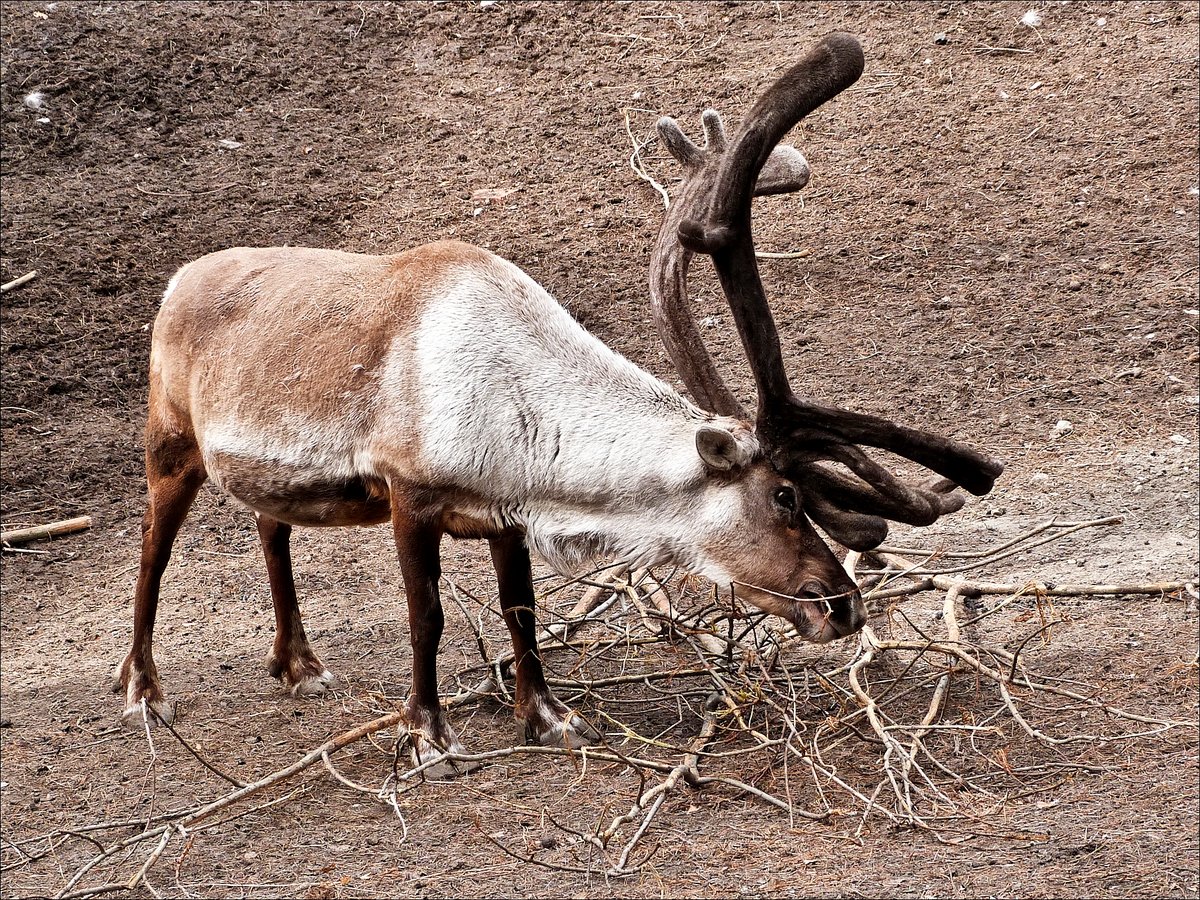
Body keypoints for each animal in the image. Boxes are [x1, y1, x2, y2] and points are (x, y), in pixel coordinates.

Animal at [115, 33, 1002, 776]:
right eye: (784, 495)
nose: (843, 604)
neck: (514, 414)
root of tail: (178, 280)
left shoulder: (505, 510)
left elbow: (522, 609)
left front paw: (549, 717)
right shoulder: (409, 492)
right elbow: (427, 616)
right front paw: (429, 736)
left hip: (268, 475)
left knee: (271, 526)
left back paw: (297, 663)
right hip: (169, 440)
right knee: (153, 549)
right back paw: (144, 689)